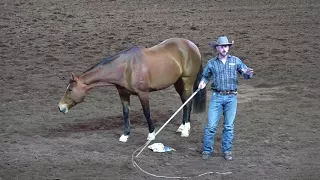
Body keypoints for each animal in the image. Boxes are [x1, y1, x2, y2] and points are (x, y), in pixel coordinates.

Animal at [58, 38, 206, 142]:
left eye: (70, 89)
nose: (60, 107)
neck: (126, 68)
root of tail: (192, 46)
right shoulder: (123, 94)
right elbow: (125, 113)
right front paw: (125, 135)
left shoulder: (143, 93)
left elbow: (146, 112)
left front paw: (151, 134)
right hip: (178, 83)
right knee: (185, 102)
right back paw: (183, 126)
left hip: (187, 81)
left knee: (188, 102)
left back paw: (185, 130)